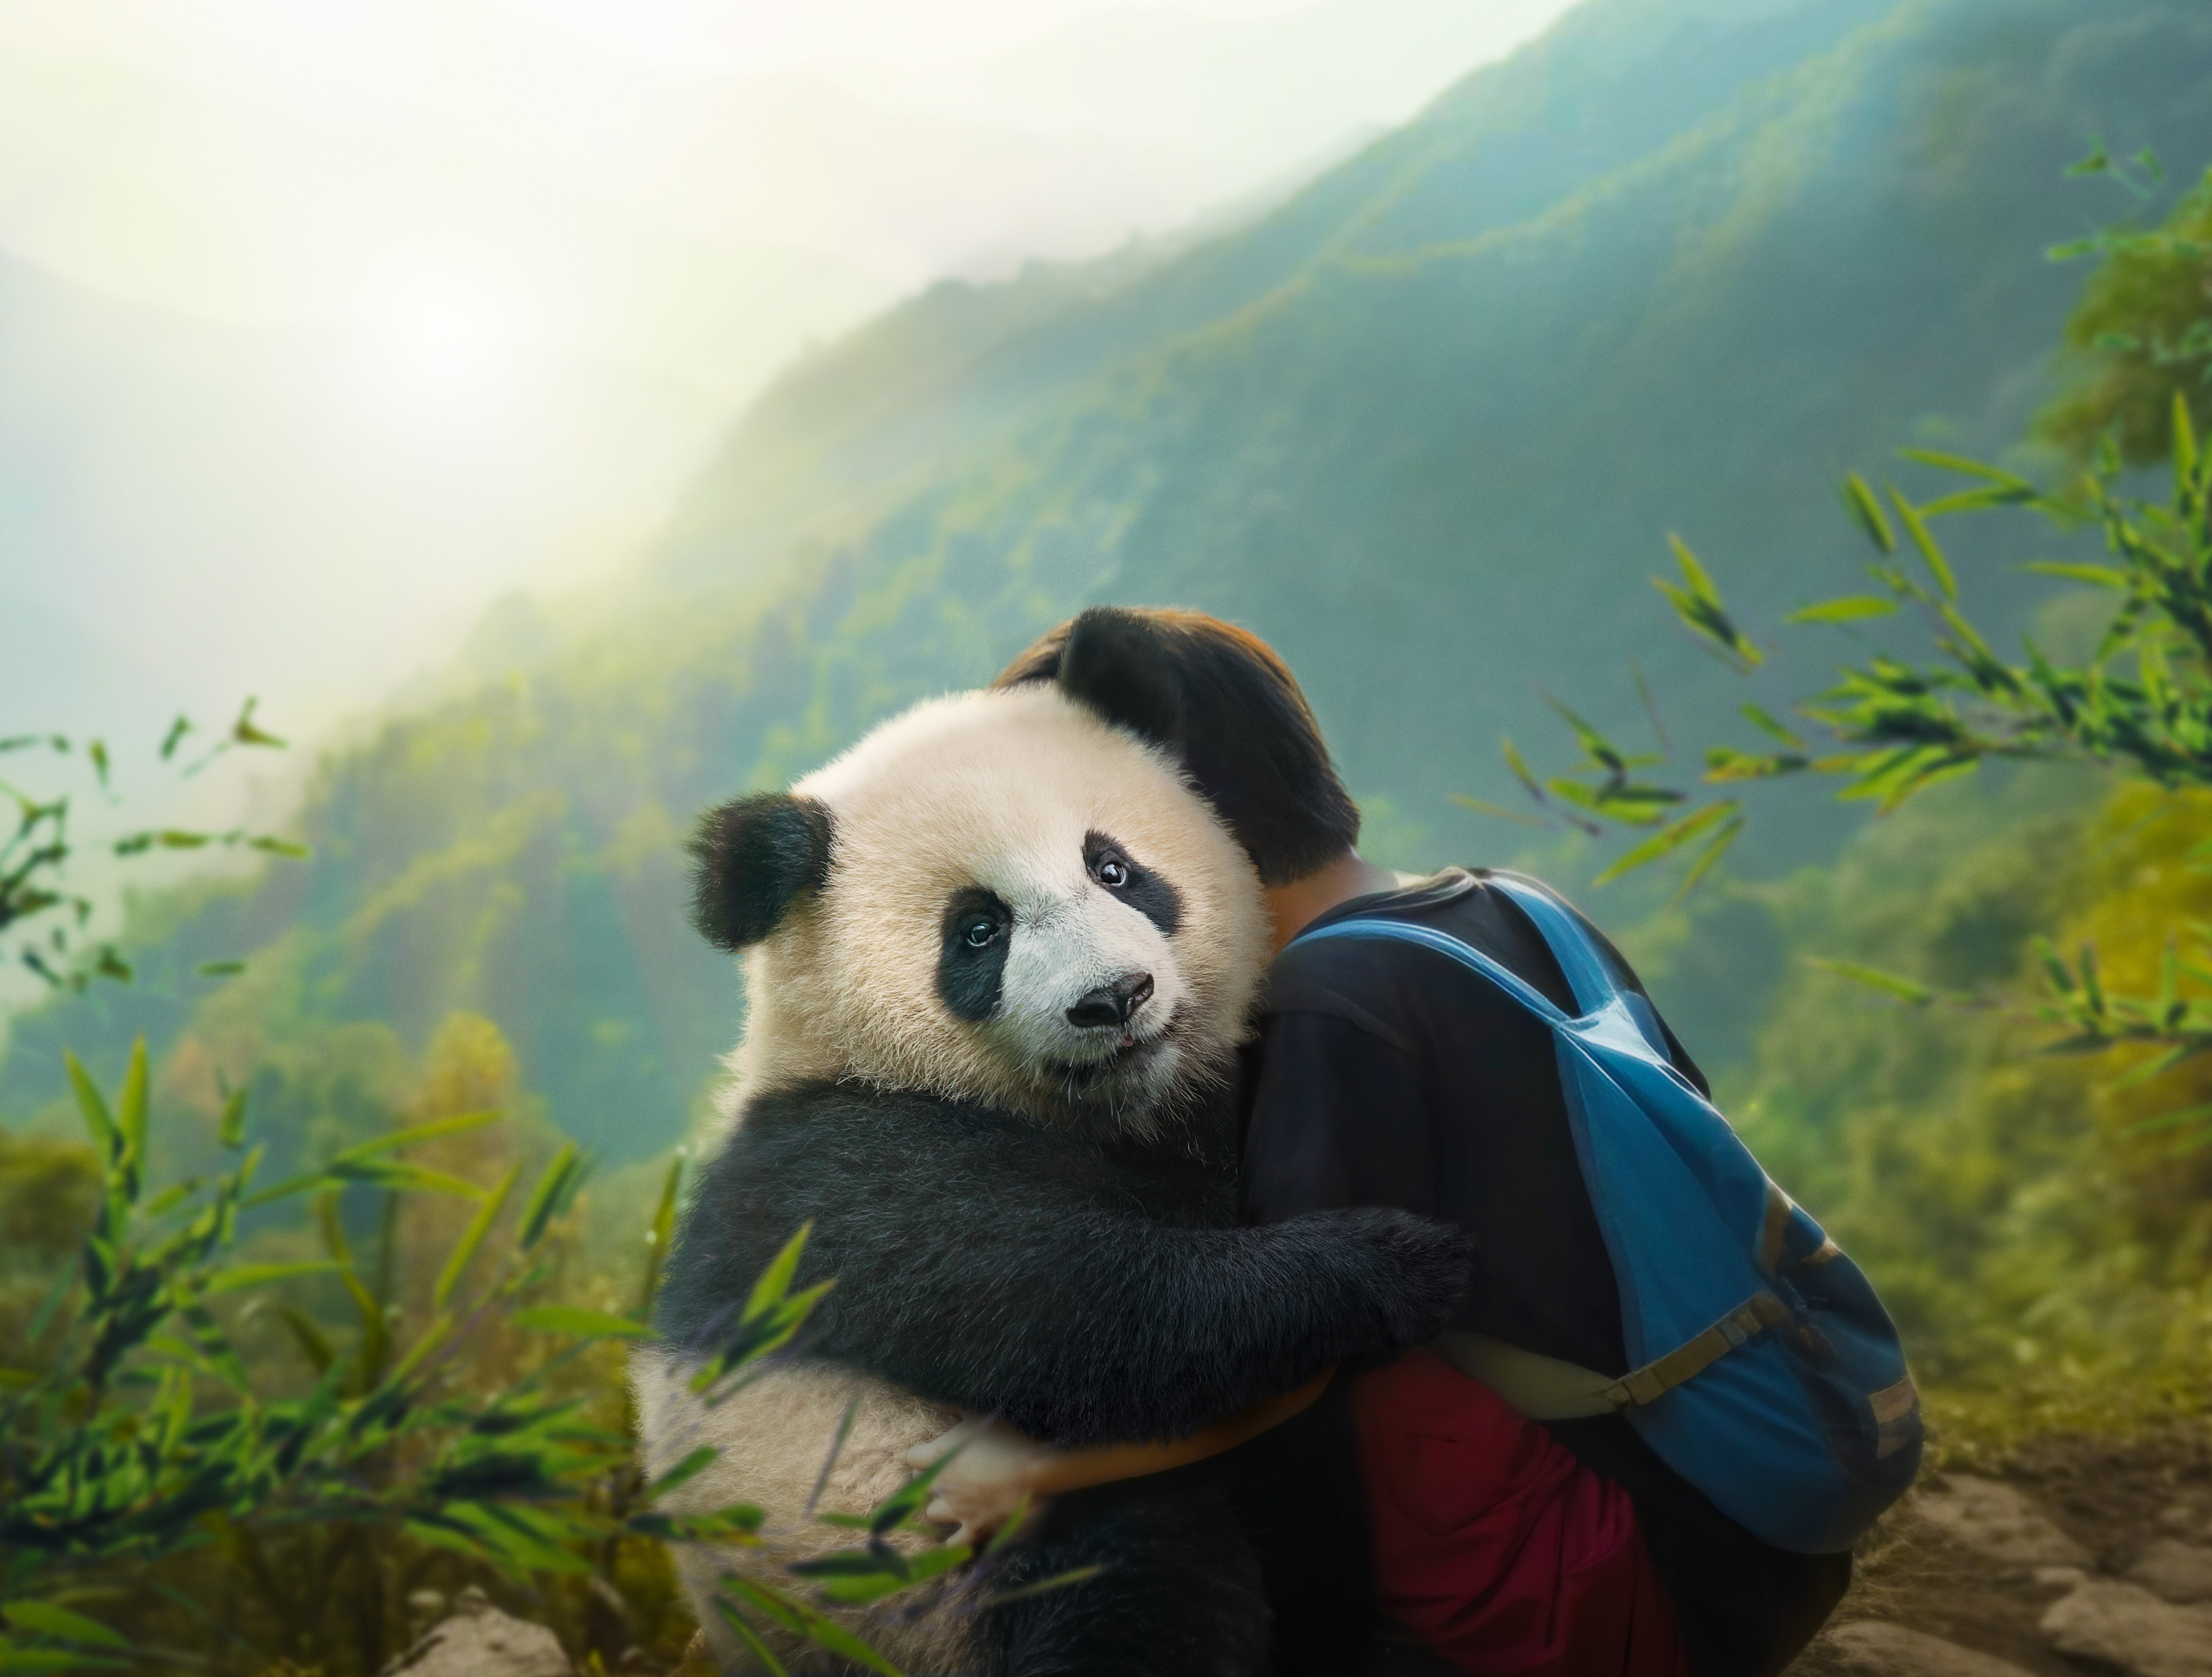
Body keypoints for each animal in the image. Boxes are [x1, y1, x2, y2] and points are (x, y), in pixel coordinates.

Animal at [634, 674, 1468, 1676]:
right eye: (977, 931)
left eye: (1112, 868)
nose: (1114, 998)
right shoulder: (840, 1173)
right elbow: (1081, 1307)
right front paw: (1396, 1263)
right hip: (911, 1578)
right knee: (1138, 1579)